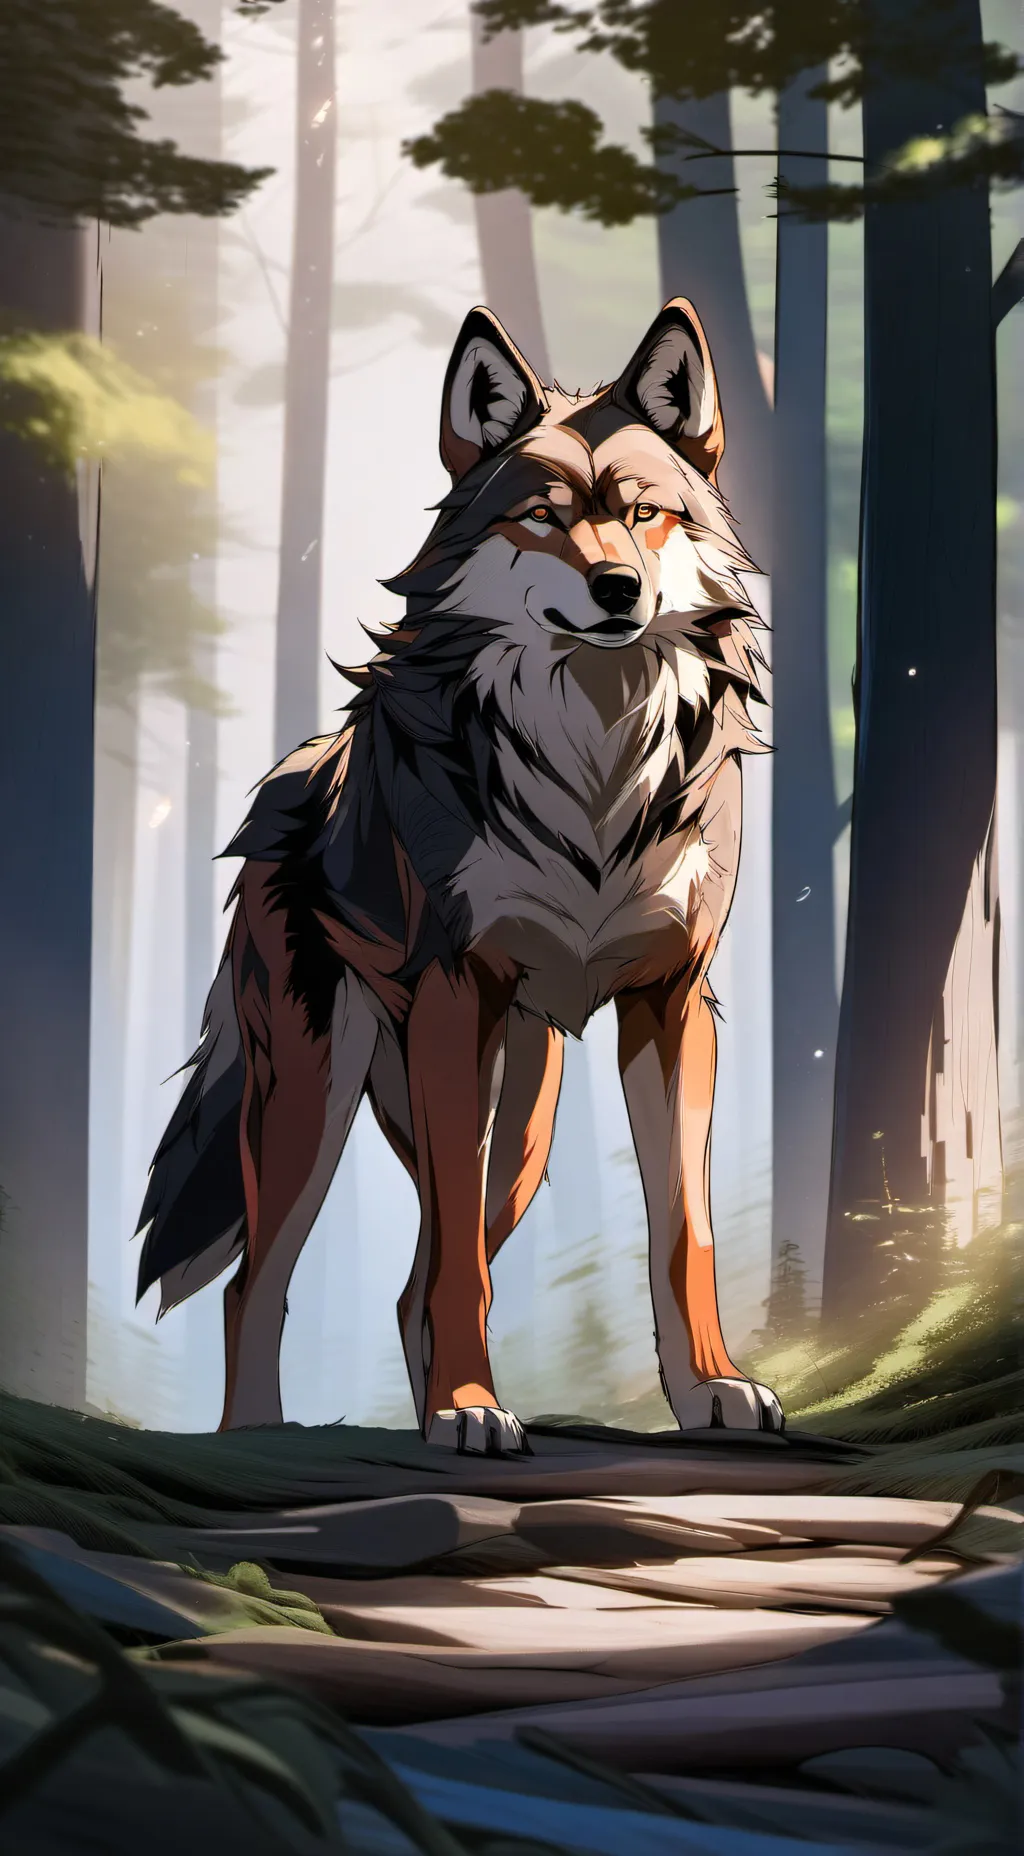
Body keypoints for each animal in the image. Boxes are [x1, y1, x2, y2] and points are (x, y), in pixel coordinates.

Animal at [135, 298, 783, 1450]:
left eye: (645, 513)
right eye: (542, 517)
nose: (616, 587)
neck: (594, 765)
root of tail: (283, 780)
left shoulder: (673, 1002)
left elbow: (682, 1233)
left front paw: (711, 1387)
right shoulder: (451, 998)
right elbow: (455, 1279)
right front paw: (468, 1407)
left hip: (519, 1129)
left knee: (419, 1274)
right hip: (314, 1093)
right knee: (266, 1280)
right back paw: (265, 1432)